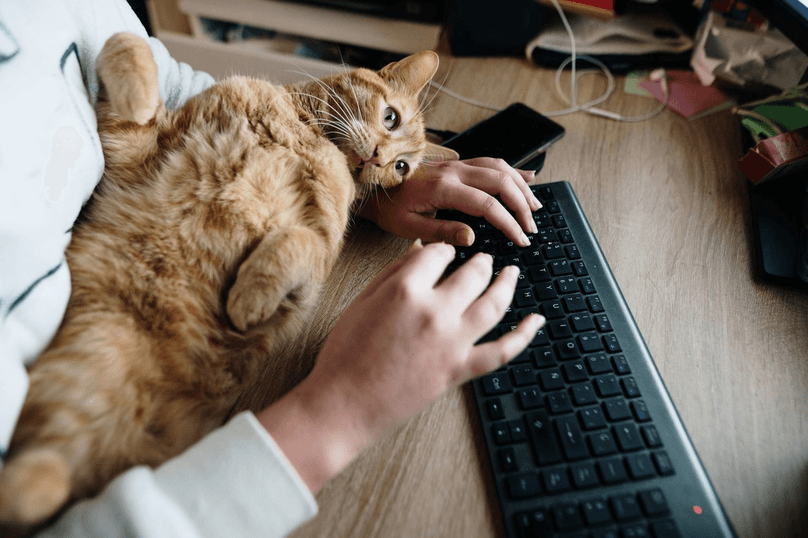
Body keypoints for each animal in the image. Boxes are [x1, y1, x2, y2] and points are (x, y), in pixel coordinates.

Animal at [0, 31, 454, 524]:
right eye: (390, 118)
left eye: (402, 169)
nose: (379, 159)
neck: (303, 129)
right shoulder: (136, 152)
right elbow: (128, 43)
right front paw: (140, 94)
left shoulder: (319, 246)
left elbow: (295, 243)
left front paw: (248, 299)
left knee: (46, 479)